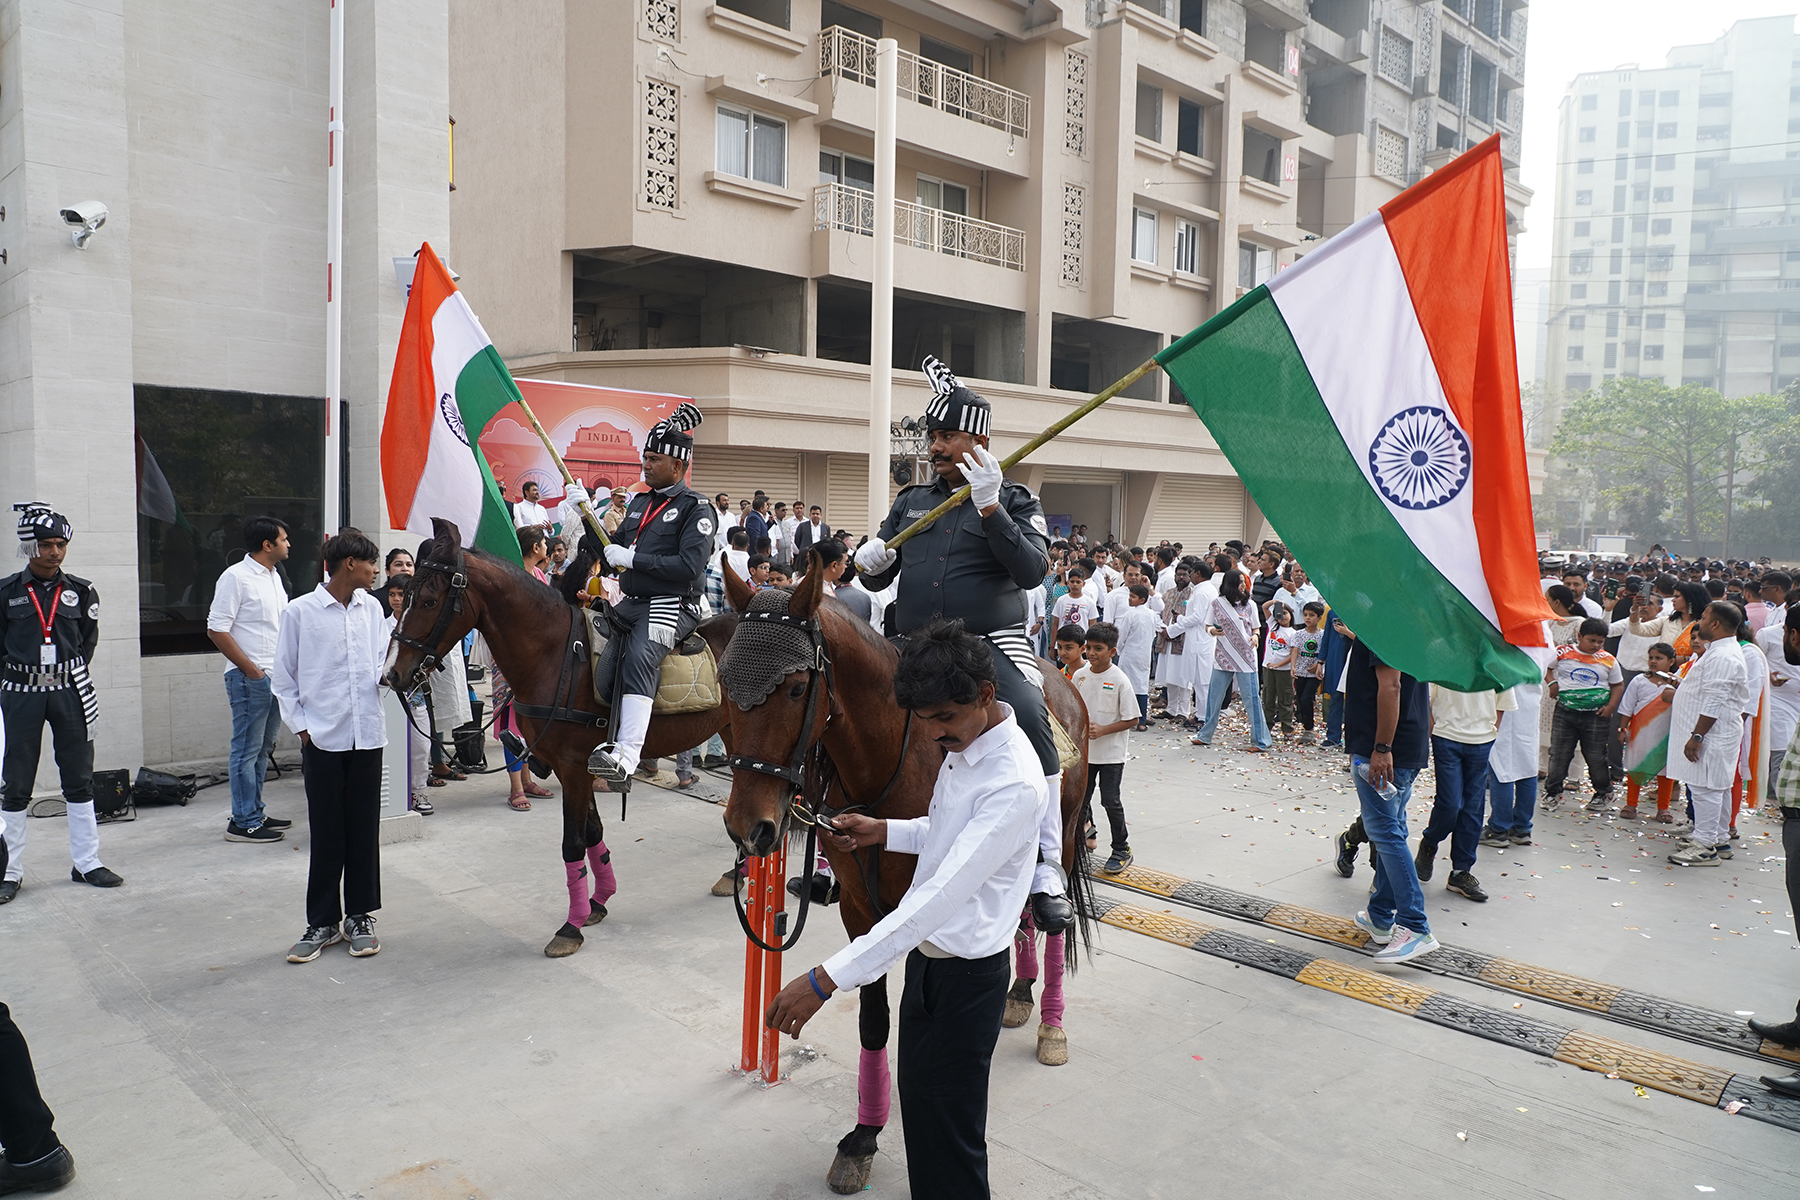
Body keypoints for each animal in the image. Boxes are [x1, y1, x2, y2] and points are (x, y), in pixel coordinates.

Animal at [386, 519, 737, 958]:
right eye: (404, 596)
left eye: (430, 601)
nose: (393, 673)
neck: (554, 656)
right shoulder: (572, 766)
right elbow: (593, 834)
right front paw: (597, 902)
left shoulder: (573, 767)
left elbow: (573, 843)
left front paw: (571, 927)